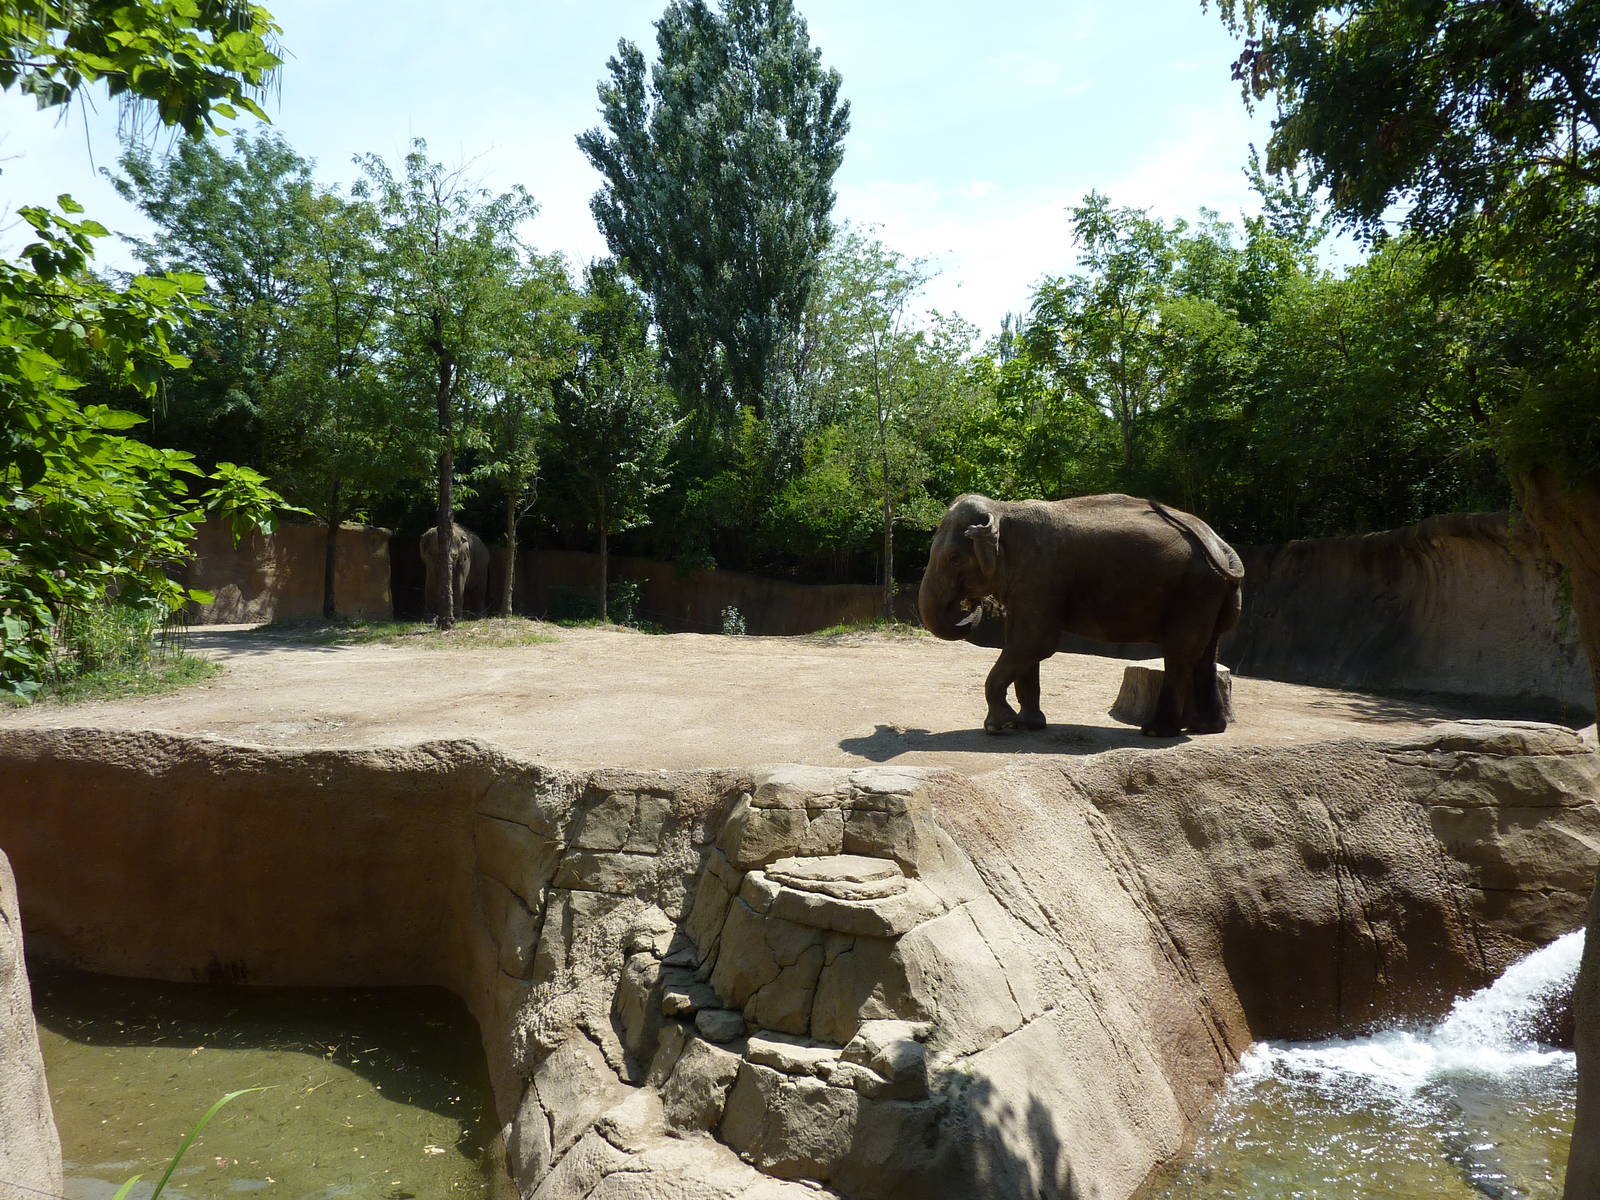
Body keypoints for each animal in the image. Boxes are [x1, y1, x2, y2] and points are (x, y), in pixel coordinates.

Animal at [918, 492, 1244, 738]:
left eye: (954, 558)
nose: (972, 605)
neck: (1004, 509)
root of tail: (1222, 546)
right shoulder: (1027, 584)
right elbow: (1021, 644)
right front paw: (1028, 725)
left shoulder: (1039, 572)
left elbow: (1034, 642)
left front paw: (999, 727)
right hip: (1210, 593)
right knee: (1206, 651)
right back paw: (1207, 728)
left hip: (1194, 590)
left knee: (1180, 652)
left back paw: (1156, 732)